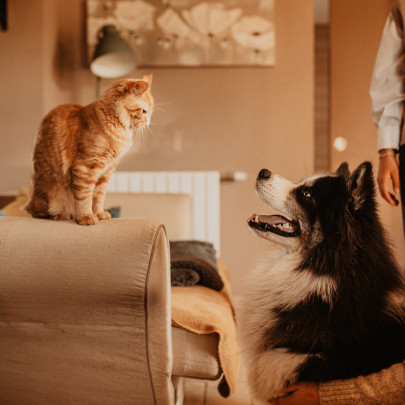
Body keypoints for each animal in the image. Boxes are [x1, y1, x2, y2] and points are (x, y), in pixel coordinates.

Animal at [24, 74, 153, 223]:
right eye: (144, 111)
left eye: (150, 112)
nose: (148, 123)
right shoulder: (86, 166)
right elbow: (84, 197)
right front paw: (86, 217)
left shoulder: (106, 172)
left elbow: (98, 197)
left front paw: (98, 213)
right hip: (49, 196)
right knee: (39, 213)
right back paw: (60, 215)